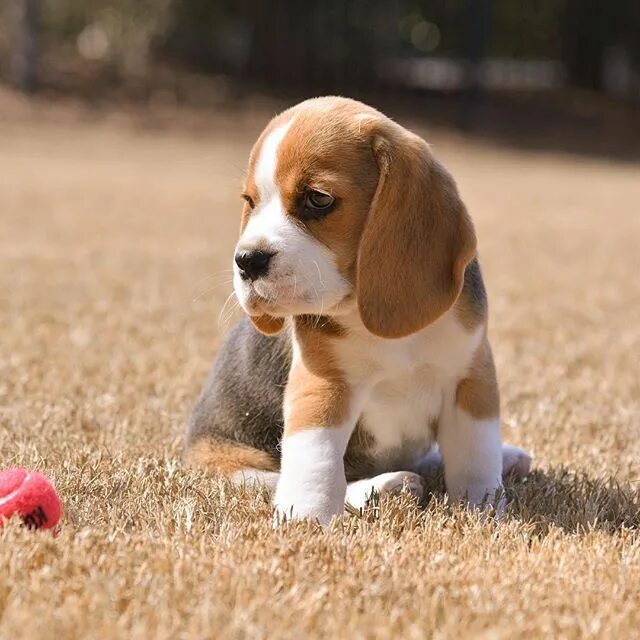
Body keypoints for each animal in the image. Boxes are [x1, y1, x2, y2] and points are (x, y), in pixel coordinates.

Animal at [186, 96, 528, 524]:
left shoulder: (472, 376)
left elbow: (476, 454)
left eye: (318, 198)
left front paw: (481, 509)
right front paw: (305, 517)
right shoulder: (323, 384)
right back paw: (382, 487)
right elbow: (316, 459)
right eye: (250, 202)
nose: (247, 260)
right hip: (235, 467)